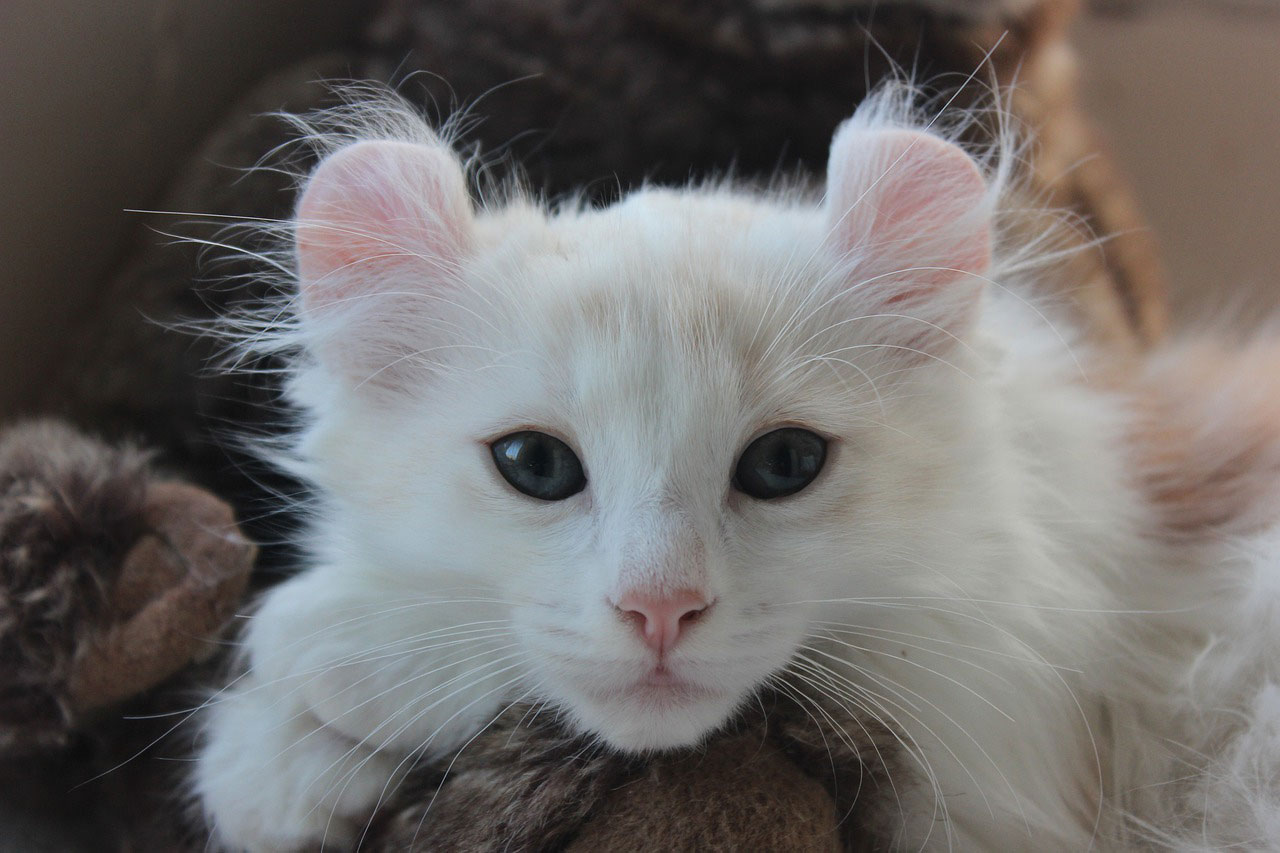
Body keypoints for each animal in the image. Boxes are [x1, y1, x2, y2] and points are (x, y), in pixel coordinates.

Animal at [189, 83, 1280, 845]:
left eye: (784, 462)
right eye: (534, 465)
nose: (659, 608)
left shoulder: (1018, 711)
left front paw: (331, 648)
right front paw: (279, 762)